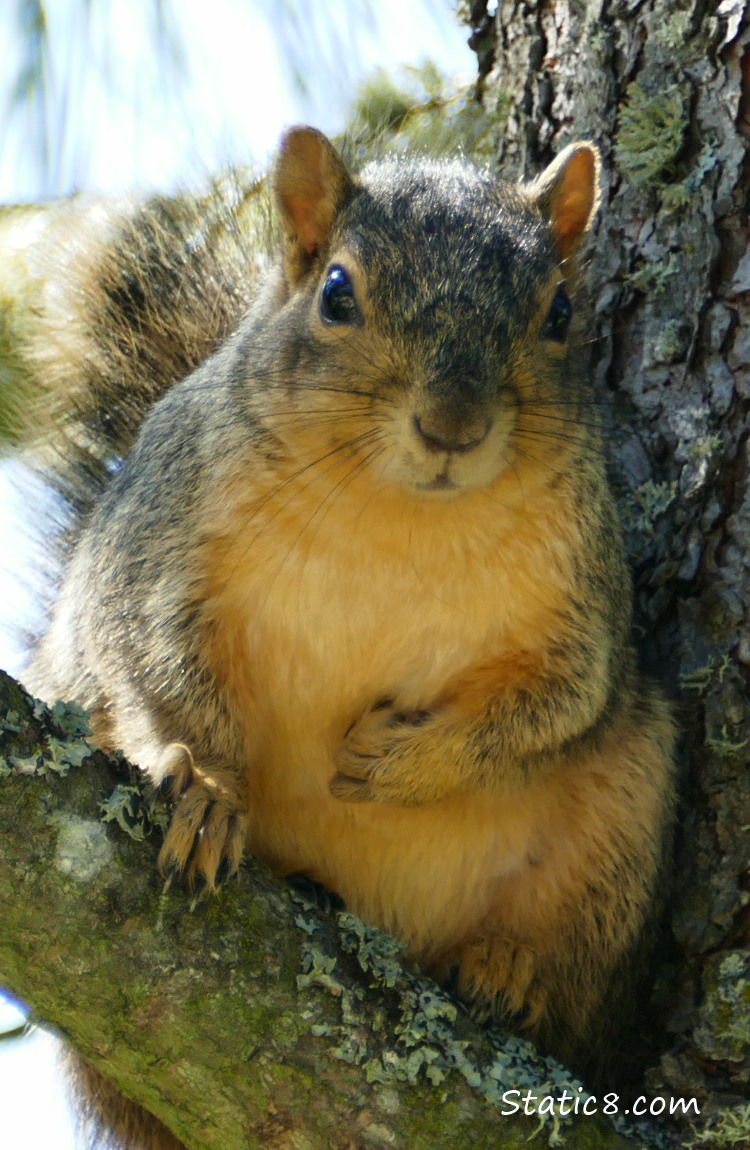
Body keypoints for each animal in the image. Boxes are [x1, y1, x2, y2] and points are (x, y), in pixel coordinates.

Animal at [26, 128, 676, 1150]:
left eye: (561, 312)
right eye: (337, 293)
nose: (452, 426)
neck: (398, 517)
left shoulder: (589, 601)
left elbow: (559, 701)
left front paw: (402, 764)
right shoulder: (152, 541)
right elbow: (150, 662)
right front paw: (205, 789)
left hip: (628, 814)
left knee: (578, 987)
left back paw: (515, 971)